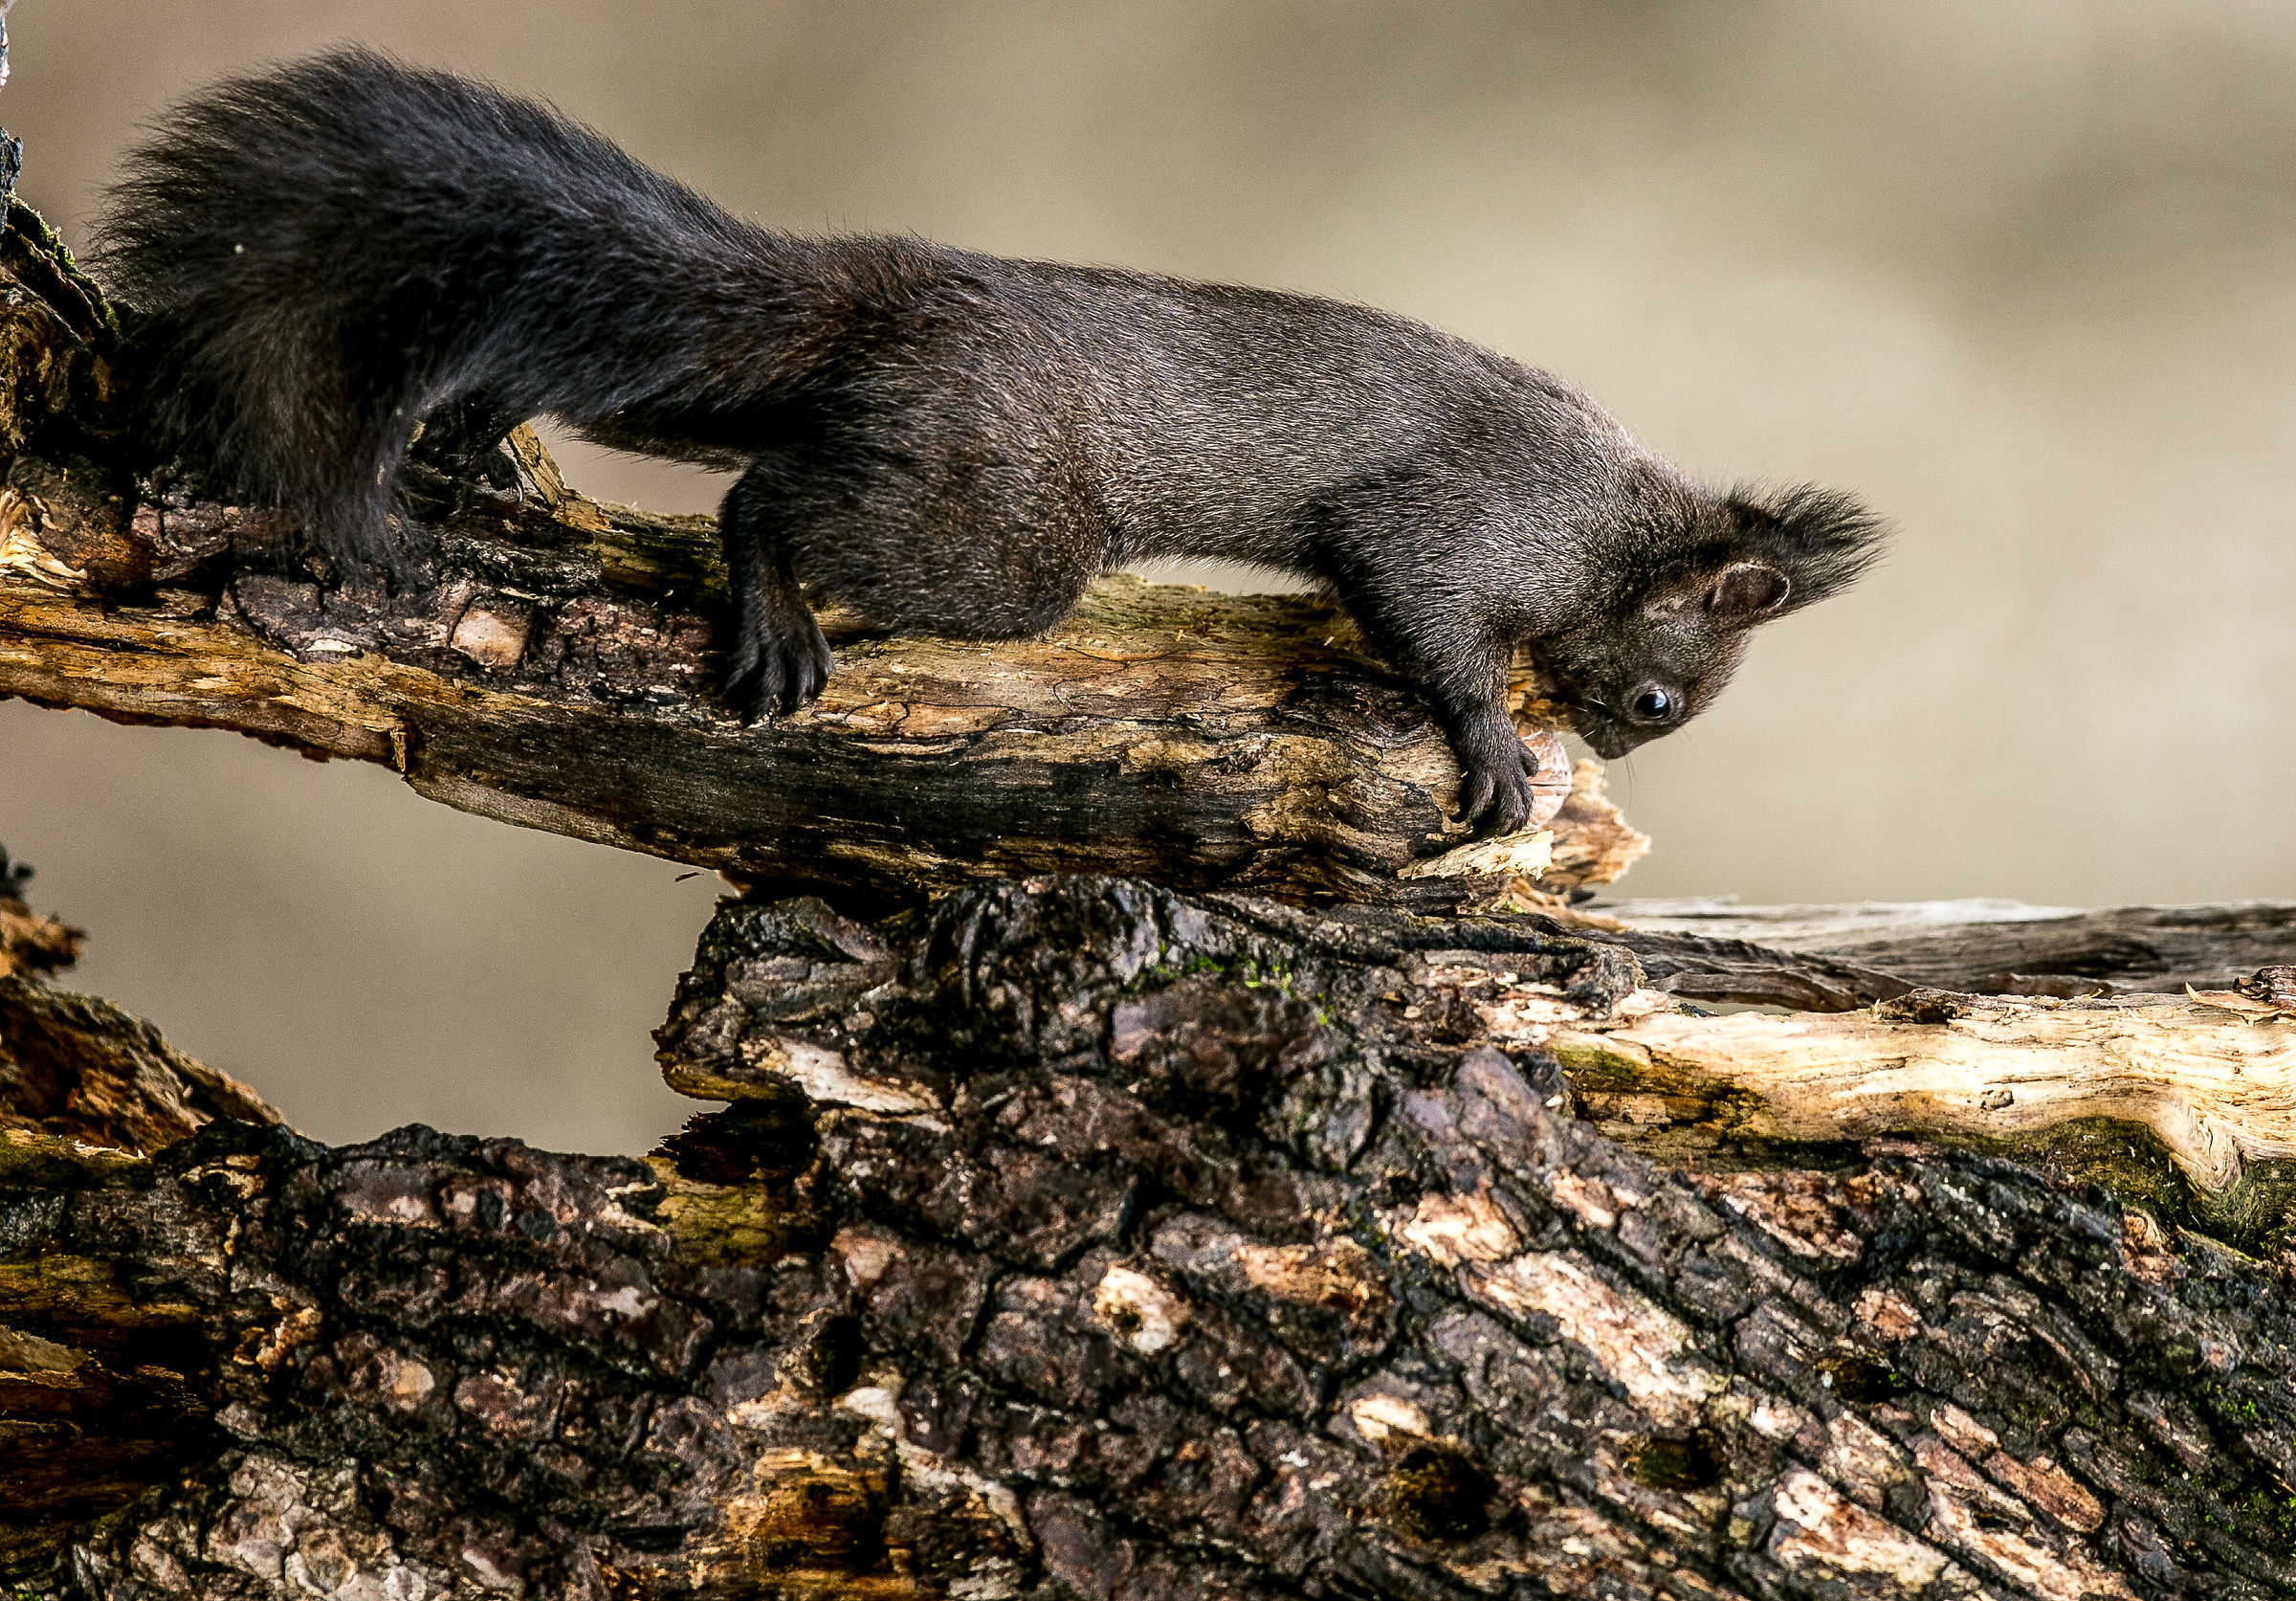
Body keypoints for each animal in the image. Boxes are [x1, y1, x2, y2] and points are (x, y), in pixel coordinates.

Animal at [97, 50, 1881, 837]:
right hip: (1002, 526)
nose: (1616, 758)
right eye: (1656, 702)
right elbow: (1417, 604)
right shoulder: (1469, 521)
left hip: (784, 403)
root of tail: (907, 294)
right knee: (766, 501)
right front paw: (1499, 749)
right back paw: (773, 615)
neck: (1616, 523)